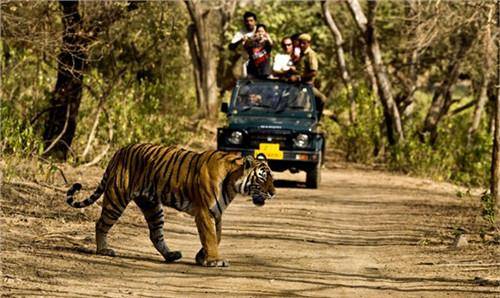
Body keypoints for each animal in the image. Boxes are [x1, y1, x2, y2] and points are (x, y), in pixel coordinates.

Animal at [65, 143, 276, 266]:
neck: (232, 183)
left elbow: (217, 237)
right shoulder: (205, 212)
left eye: (272, 178)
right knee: (101, 223)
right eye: (262, 177)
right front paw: (214, 260)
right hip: (117, 198)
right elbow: (210, 237)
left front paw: (202, 257)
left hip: (152, 206)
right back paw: (104, 250)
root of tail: (119, 151)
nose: (273, 193)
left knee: (155, 234)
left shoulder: (217, 213)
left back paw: (171, 255)